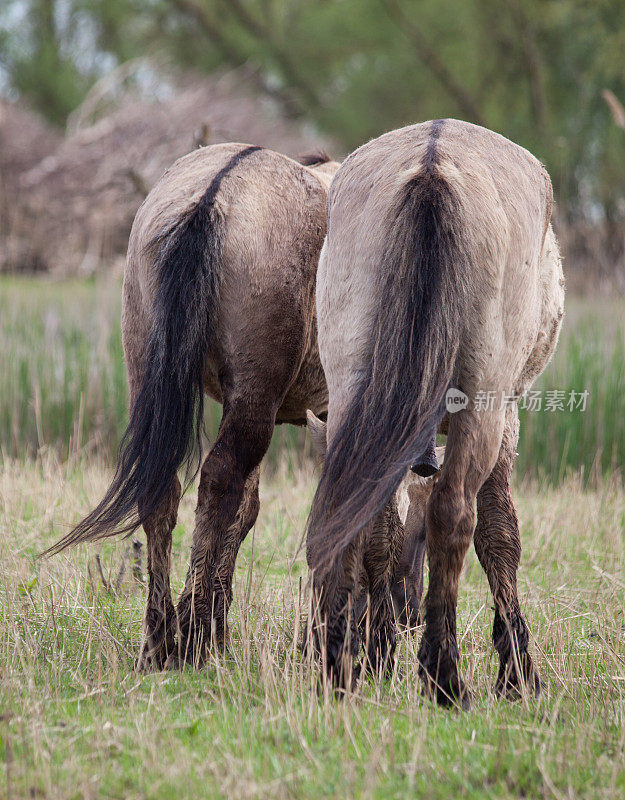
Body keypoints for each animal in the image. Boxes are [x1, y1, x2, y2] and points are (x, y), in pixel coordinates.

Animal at [304, 119, 564, 708]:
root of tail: (432, 165)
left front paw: (376, 652)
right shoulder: (505, 419)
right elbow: (499, 534)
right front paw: (517, 672)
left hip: (355, 392)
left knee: (358, 511)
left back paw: (340, 666)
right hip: (481, 408)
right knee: (453, 513)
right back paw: (444, 677)